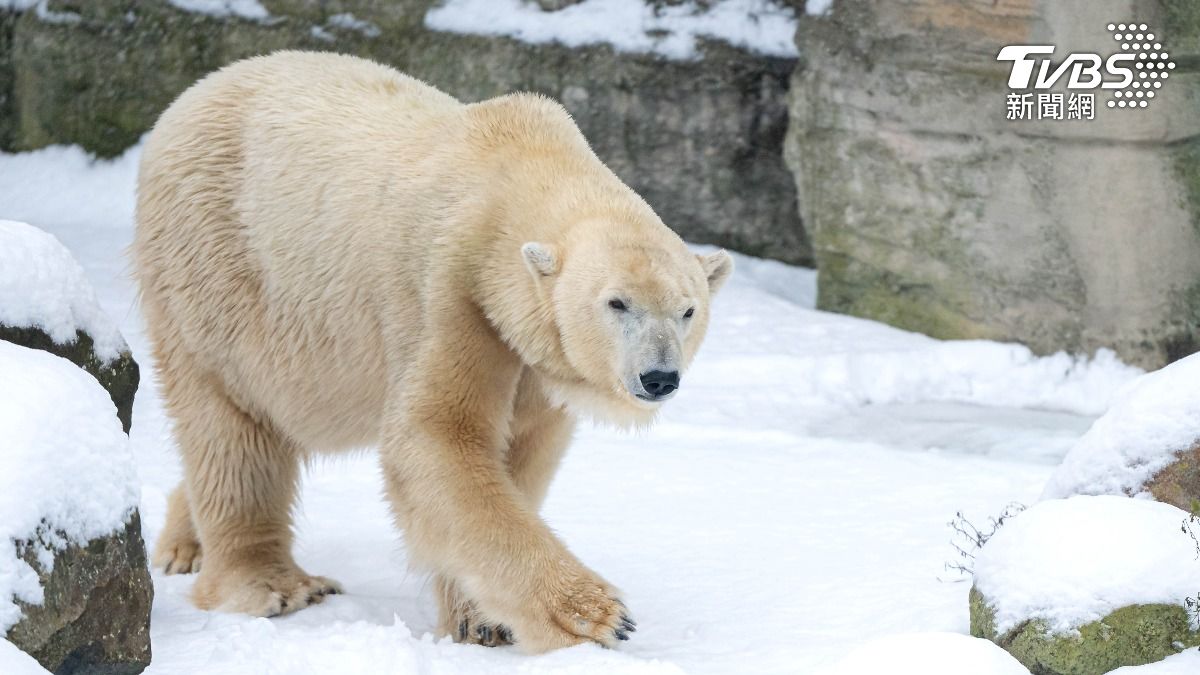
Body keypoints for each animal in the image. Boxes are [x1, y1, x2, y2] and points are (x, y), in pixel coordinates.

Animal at [134, 51, 732, 653]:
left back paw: (185, 544)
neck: (516, 168)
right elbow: (436, 439)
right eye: (616, 303)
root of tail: (194, 95)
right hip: (218, 274)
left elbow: (519, 451)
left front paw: (481, 621)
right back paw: (273, 586)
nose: (659, 377)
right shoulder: (449, 290)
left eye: (687, 311)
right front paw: (596, 617)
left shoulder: (529, 348)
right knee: (231, 426)